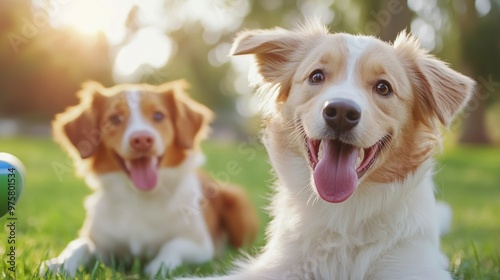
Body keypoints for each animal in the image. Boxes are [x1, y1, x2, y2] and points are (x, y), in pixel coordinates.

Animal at [42, 81, 258, 278]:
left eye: (158, 116)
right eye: (115, 118)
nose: (142, 140)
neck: (141, 197)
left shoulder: (202, 246)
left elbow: (173, 245)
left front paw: (160, 266)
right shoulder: (102, 243)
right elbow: (80, 244)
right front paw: (59, 264)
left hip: (235, 199)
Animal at [186, 23, 474, 278]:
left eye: (383, 87)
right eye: (317, 76)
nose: (341, 112)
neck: (344, 213)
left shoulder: (410, 267)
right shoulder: (279, 268)